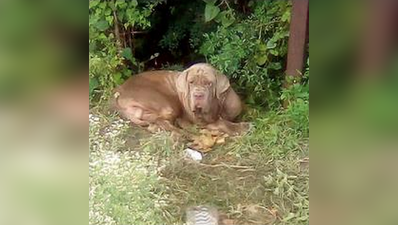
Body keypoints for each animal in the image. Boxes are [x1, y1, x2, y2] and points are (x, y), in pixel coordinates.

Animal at [112, 62, 249, 135]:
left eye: (209, 83)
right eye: (191, 82)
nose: (198, 94)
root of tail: (119, 91)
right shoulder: (200, 121)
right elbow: (222, 123)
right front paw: (241, 127)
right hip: (167, 103)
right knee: (163, 121)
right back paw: (182, 133)